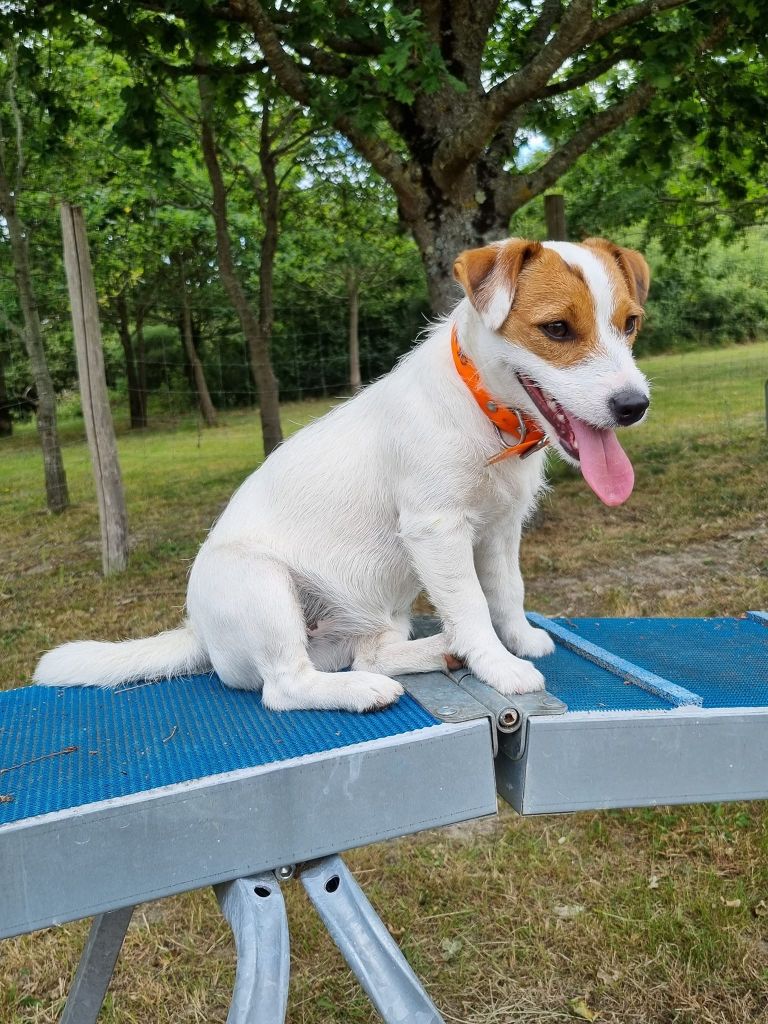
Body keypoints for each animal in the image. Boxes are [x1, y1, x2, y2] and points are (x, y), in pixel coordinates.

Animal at [33, 237, 651, 712]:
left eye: (630, 324)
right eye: (557, 329)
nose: (634, 406)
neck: (485, 413)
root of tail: (199, 636)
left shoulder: (500, 530)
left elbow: (506, 591)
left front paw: (519, 639)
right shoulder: (437, 530)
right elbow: (472, 604)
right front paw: (499, 665)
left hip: (379, 615)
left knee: (368, 653)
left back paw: (435, 651)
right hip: (263, 585)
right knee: (285, 687)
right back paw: (365, 691)